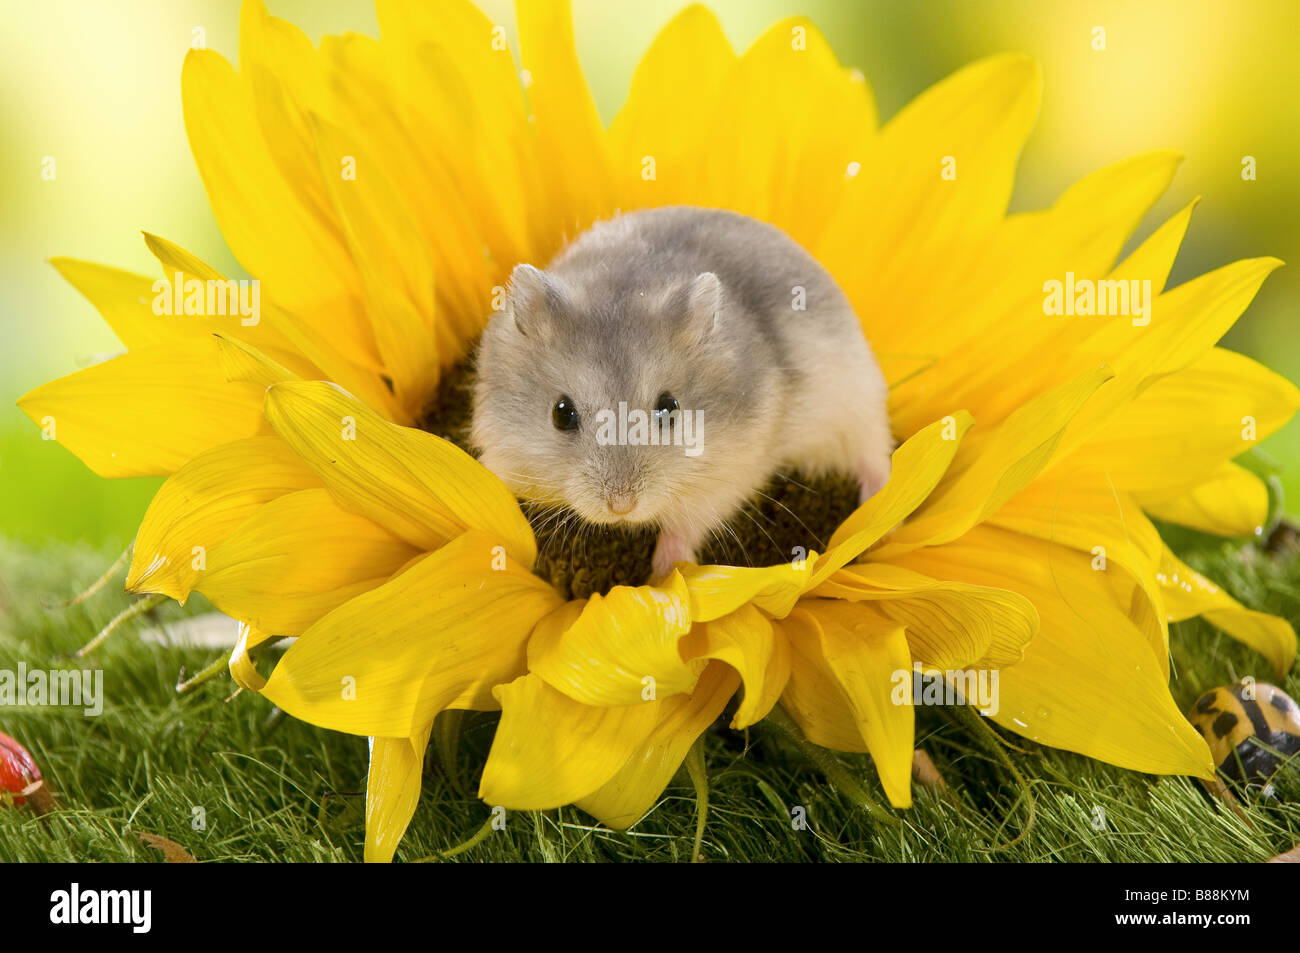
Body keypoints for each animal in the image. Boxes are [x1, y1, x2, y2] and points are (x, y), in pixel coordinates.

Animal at [471, 205, 893, 581]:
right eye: (561, 413)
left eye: (669, 409)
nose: (622, 506)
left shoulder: (727, 477)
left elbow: (685, 525)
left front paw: (664, 574)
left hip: (858, 397)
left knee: (875, 453)